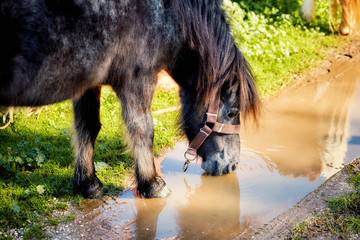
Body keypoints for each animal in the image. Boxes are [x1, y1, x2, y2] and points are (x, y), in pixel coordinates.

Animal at [0, 0, 258, 198]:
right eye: (233, 112)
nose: (232, 165)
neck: (169, 12)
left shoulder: (88, 83)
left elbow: (87, 127)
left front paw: (88, 184)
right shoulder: (138, 80)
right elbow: (143, 130)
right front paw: (152, 184)